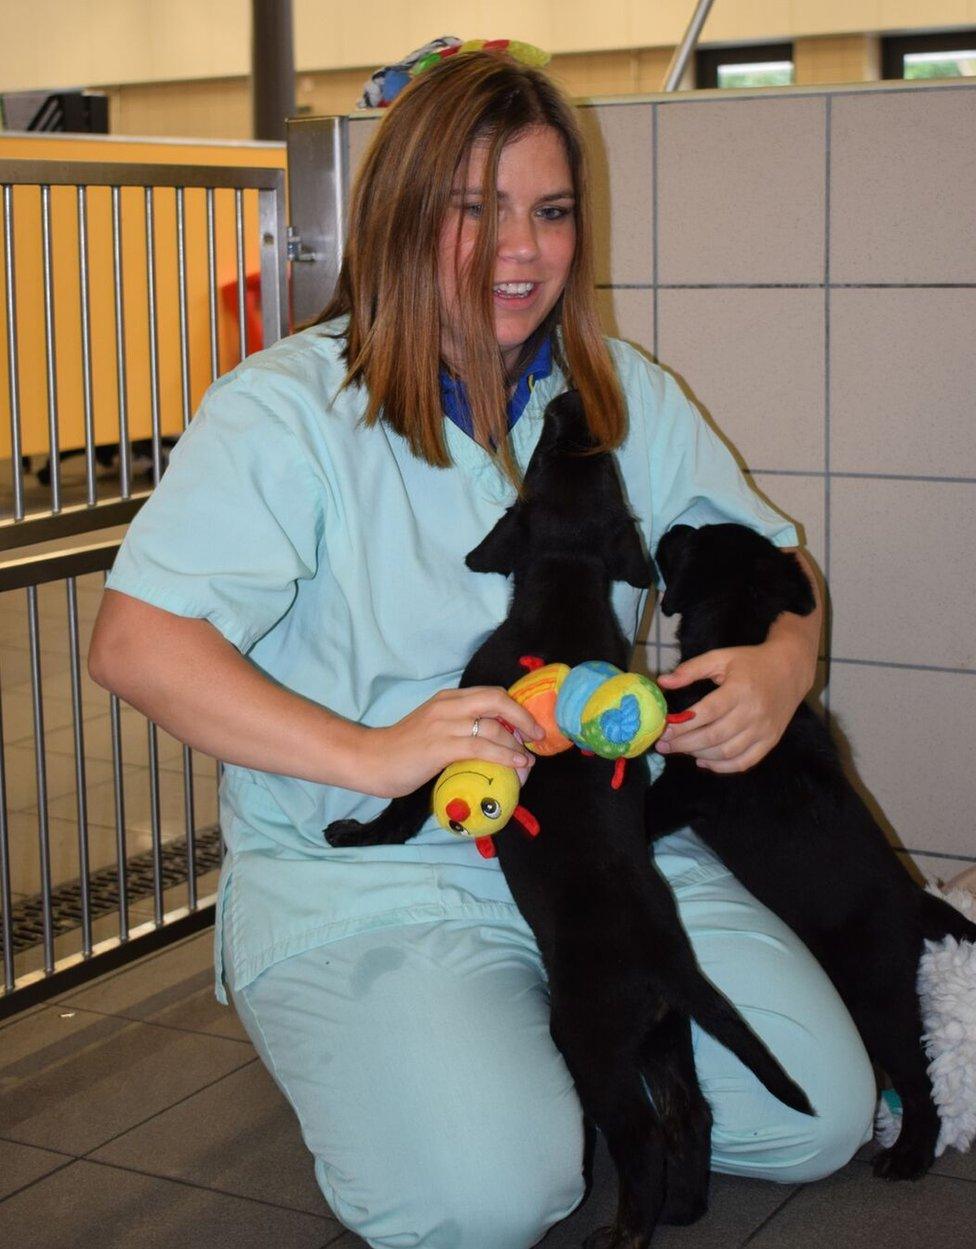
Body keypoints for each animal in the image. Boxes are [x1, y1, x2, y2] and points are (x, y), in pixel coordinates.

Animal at [329, 394, 814, 1244]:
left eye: (550, 447)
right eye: (589, 452)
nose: (569, 401)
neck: (564, 590)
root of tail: (670, 963)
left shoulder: (460, 724)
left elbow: (405, 796)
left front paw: (355, 834)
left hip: (592, 1041)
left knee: (644, 1134)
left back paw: (623, 1231)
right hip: (664, 1034)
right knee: (692, 1112)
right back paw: (684, 1209)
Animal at [644, 522, 969, 1184]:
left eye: (697, 539)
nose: (674, 525)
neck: (736, 635)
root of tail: (916, 900)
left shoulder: (687, 785)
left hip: (876, 997)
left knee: (920, 1078)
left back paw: (910, 1155)